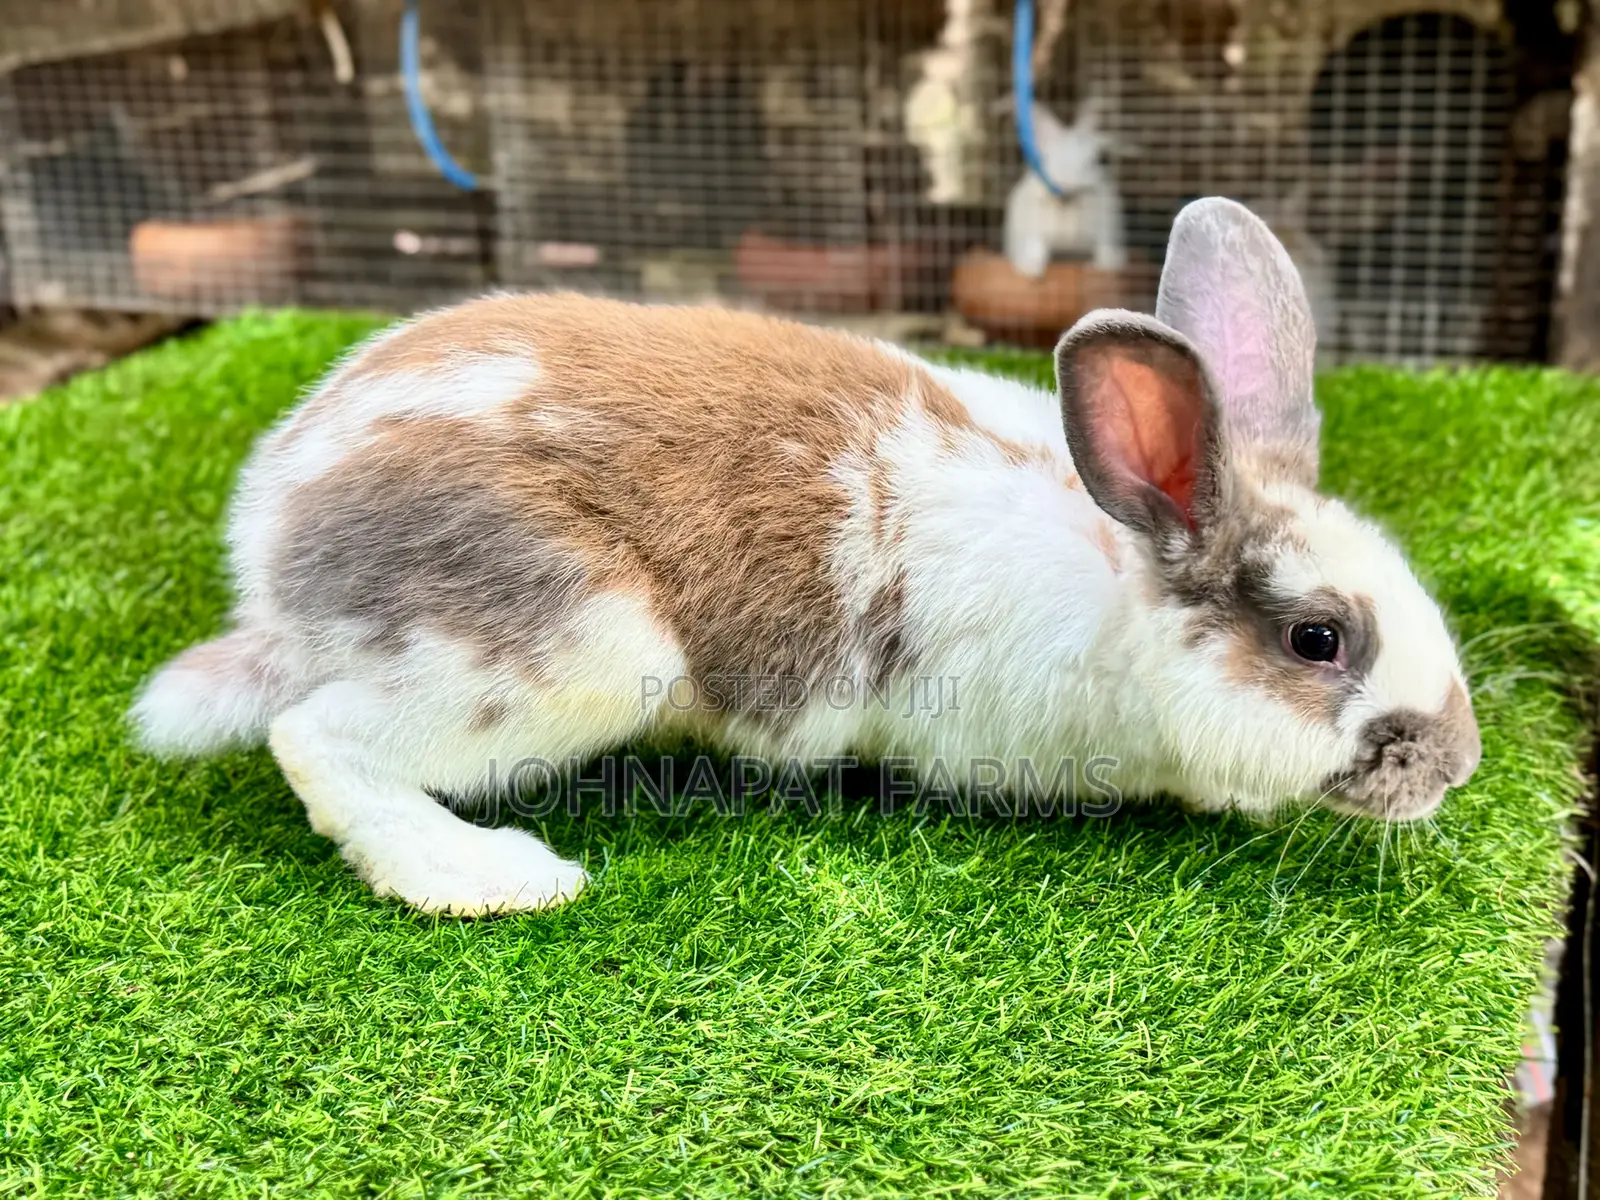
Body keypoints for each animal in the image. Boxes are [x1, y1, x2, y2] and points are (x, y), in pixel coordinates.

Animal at [130, 197, 1480, 916]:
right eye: (1317, 638)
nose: (1456, 765)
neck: (1119, 587)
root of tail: (273, 543)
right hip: (568, 651)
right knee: (316, 742)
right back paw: (494, 876)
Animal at [1003, 98, 1127, 277]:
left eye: (1095, 160)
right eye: (1044, 159)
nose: (1066, 184)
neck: (1066, 204)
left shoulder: (1107, 231)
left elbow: (1104, 250)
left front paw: (1099, 266)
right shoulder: (1033, 230)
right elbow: (1035, 247)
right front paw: (1031, 269)